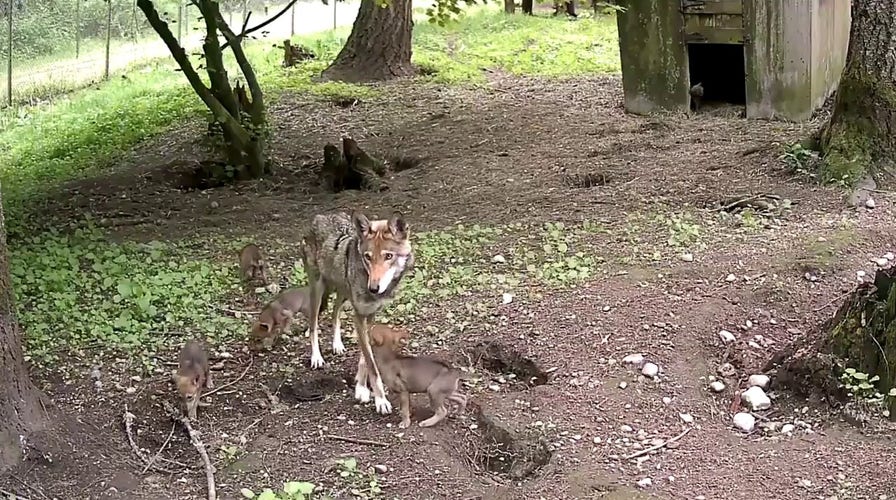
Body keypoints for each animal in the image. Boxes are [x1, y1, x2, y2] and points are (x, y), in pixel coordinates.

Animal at [300, 210, 414, 414]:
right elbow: (372, 365)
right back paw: (317, 358)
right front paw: (380, 400)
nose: (374, 288)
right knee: (313, 324)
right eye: (368, 257)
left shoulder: (369, 316)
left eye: (388, 256)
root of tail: (320, 216)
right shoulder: (359, 316)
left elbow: (364, 357)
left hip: (343, 293)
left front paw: (361, 388)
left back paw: (337, 345)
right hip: (318, 290)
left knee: (335, 312)